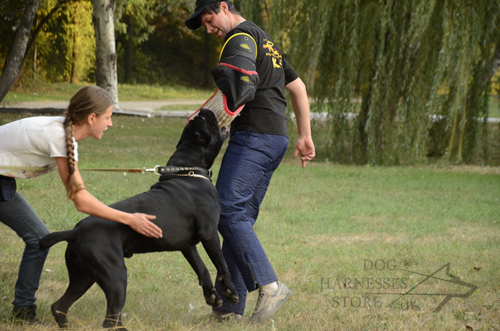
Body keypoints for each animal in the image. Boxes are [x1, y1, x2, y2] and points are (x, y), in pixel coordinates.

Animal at [40, 109, 239, 330]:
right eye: (206, 122)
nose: (203, 111)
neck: (188, 171)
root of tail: (74, 232)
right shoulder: (209, 233)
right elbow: (221, 264)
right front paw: (230, 291)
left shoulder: (187, 245)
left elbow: (202, 268)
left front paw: (212, 296)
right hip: (116, 275)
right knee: (110, 318)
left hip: (83, 277)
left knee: (60, 306)